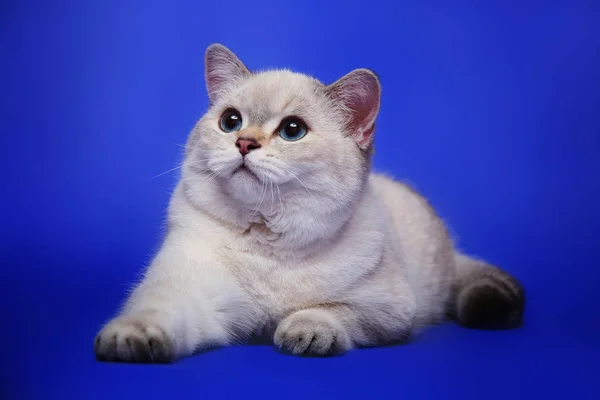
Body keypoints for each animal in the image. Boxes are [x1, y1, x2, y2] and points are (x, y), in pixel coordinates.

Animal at [94, 43, 524, 362]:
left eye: (292, 130)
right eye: (230, 121)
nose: (244, 143)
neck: (267, 241)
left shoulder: (386, 310)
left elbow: (329, 312)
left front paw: (303, 332)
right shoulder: (193, 294)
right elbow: (156, 312)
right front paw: (127, 340)